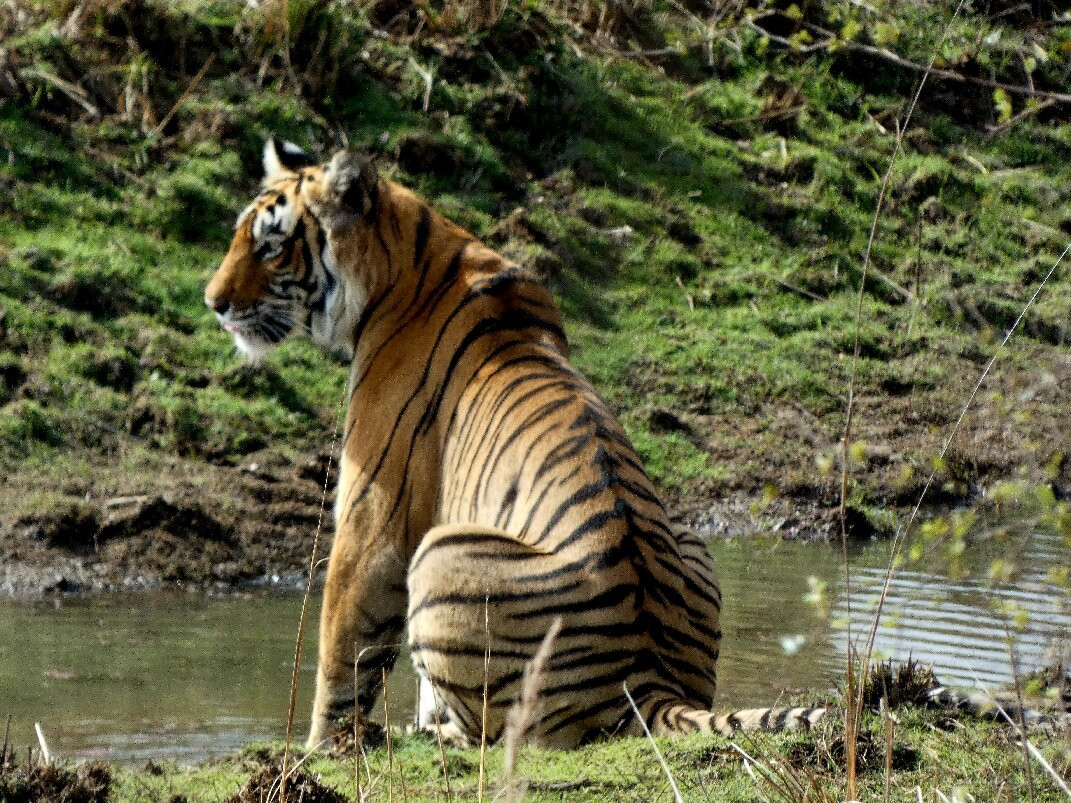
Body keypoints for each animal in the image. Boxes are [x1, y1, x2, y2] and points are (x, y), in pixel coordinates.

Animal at [205, 138, 827, 749]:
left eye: (270, 247)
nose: (212, 302)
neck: (410, 257)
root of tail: (649, 678)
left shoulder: (375, 511)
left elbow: (344, 645)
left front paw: (320, 747)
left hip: (440, 557)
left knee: (494, 731)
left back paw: (423, 734)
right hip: (690, 538)